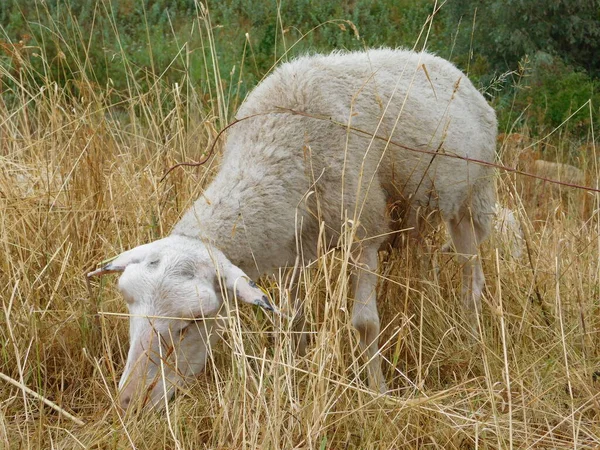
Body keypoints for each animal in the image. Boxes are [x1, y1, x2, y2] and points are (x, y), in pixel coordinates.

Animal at [85, 49, 496, 412]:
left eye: (190, 325)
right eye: (130, 311)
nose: (129, 404)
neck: (278, 145)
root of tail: (443, 64)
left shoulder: (363, 231)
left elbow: (364, 324)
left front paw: (378, 394)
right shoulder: (289, 251)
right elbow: (292, 322)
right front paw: (293, 378)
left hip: (473, 199)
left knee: (471, 277)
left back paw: (471, 336)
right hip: (417, 213)